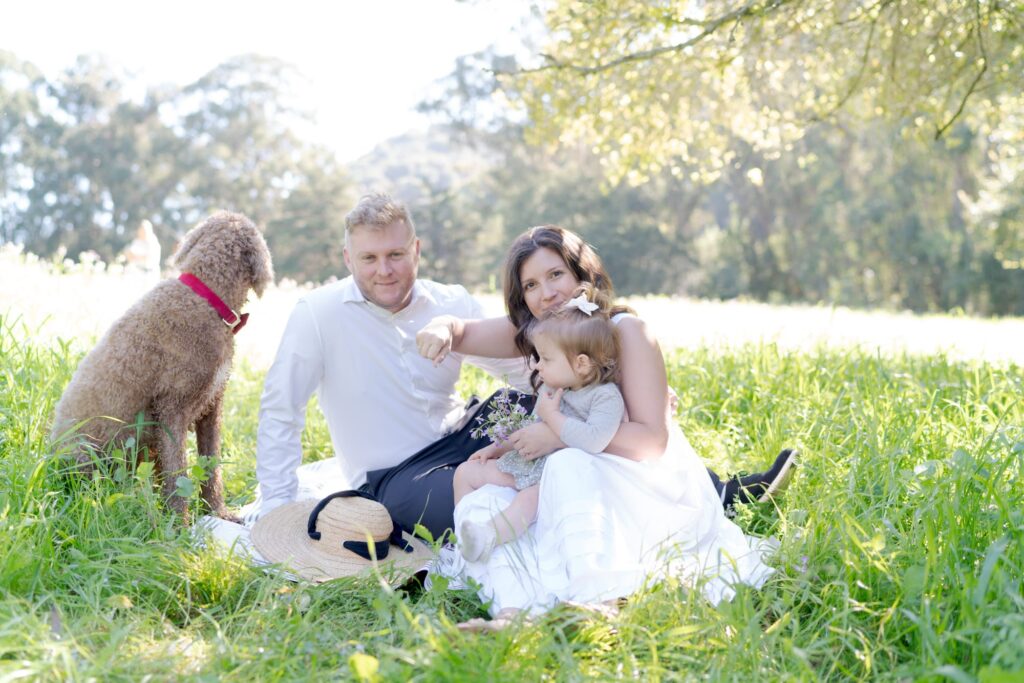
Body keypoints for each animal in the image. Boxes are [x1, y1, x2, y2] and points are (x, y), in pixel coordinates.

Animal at [50, 210, 276, 520]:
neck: (205, 296)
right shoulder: (172, 410)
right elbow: (177, 473)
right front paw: (181, 524)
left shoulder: (211, 406)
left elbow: (211, 465)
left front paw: (217, 512)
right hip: (87, 454)